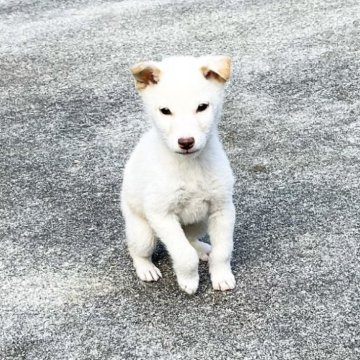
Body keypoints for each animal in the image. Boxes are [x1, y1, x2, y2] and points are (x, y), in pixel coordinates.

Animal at [121, 54, 236, 294]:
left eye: (202, 107)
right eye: (165, 111)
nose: (186, 142)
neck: (190, 165)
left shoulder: (223, 209)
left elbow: (223, 251)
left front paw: (221, 276)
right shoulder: (161, 215)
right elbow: (184, 255)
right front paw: (189, 281)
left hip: (200, 221)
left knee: (190, 239)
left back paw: (202, 249)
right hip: (142, 231)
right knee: (137, 250)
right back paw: (146, 269)